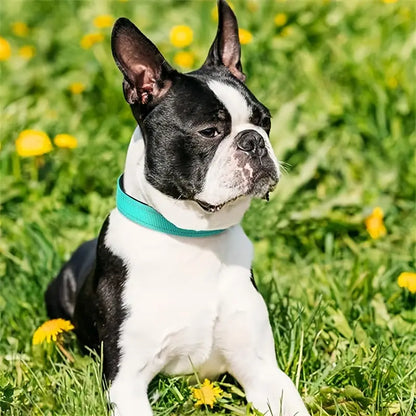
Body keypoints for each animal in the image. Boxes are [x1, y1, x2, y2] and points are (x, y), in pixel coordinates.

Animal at [45, 0, 308, 416]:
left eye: (265, 121)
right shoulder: (126, 383)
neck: (193, 236)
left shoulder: (261, 368)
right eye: (209, 132)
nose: (254, 140)